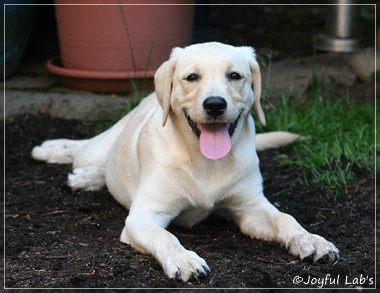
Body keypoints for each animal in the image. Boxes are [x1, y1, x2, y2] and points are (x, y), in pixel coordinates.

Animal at [32, 41, 340, 280]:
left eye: (235, 76)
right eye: (192, 77)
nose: (215, 104)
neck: (206, 161)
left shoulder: (251, 207)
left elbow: (284, 219)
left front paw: (311, 240)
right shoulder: (143, 217)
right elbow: (166, 237)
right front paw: (185, 260)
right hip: (97, 147)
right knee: (85, 151)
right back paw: (55, 152)